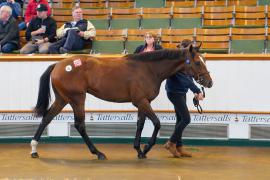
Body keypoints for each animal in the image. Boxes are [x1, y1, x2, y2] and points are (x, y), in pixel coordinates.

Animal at [30, 44, 213, 159]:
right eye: (198, 62)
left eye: (204, 61)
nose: (209, 82)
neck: (148, 69)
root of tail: (58, 65)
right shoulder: (141, 101)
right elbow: (157, 123)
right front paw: (146, 148)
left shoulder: (143, 102)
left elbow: (140, 124)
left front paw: (139, 150)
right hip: (77, 98)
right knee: (79, 125)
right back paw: (98, 153)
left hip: (63, 99)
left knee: (47, 118)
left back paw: (34, 149)